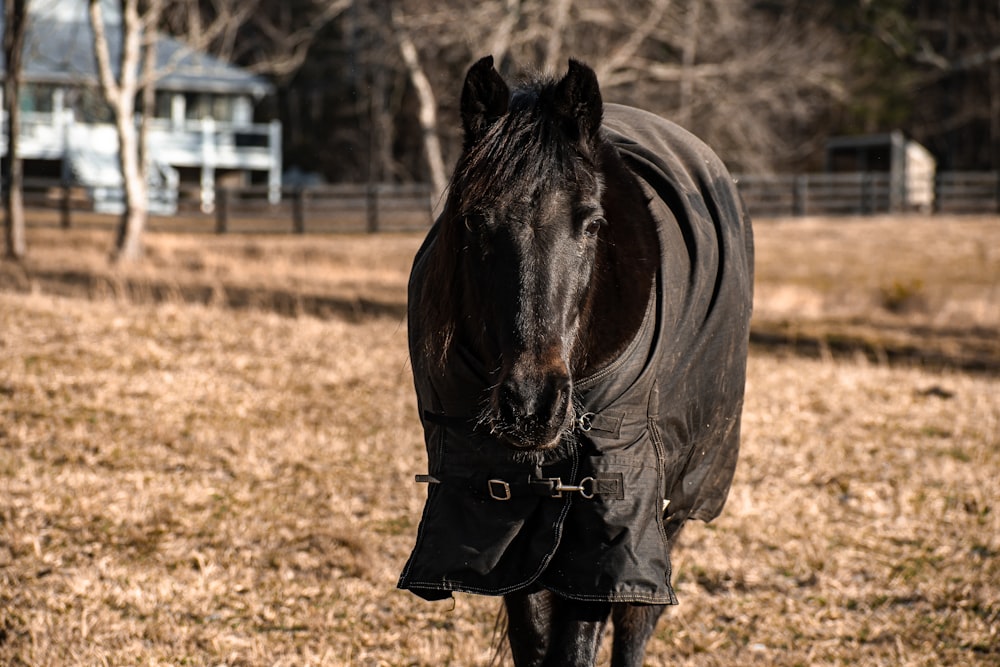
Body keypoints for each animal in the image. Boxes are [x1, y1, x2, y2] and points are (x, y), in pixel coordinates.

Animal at [398, 58, 752, 667]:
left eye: (591, 224)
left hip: (676, 499)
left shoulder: (612, 510)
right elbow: (534, 637)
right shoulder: (507, 512)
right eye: (473, 222)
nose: (530, 404)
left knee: (636, 621)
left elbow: (583, 632)